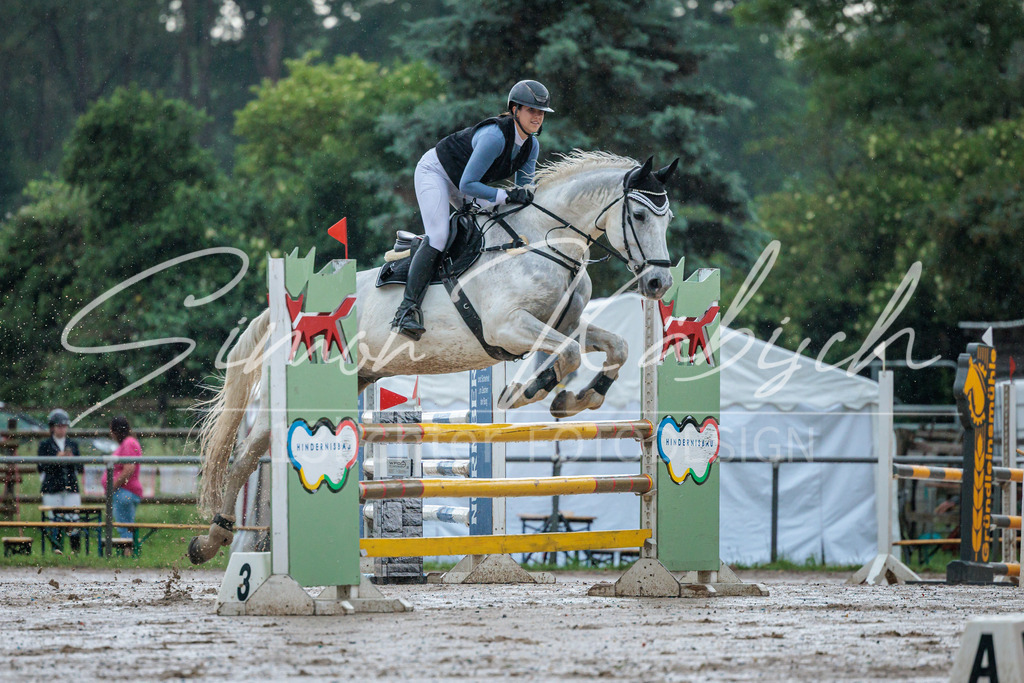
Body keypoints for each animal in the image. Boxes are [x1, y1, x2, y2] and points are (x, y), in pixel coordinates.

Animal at [187, 150, 679, 564]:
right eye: (638, 215)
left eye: (667, 217)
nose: (658, 284)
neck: (543, 243)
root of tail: (285, 313)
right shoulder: (508, 328)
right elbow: (570, 355)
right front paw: (528, 391)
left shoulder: (566, 324)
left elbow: (614, 347)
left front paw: (577, 400)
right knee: (246, 455)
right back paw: (212, 540)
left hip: (358, 378)